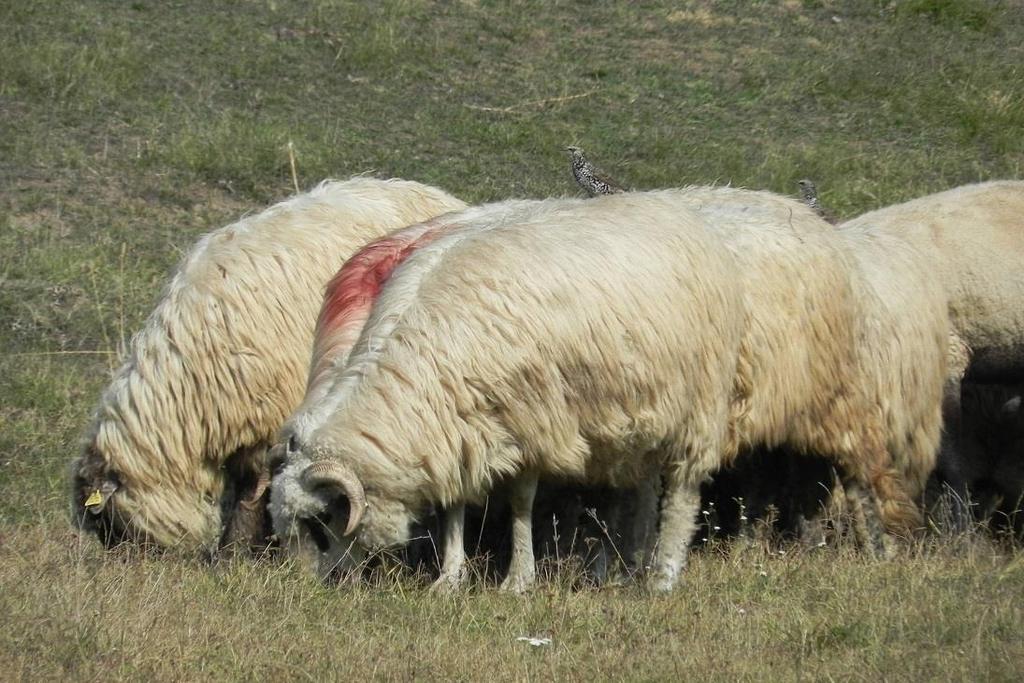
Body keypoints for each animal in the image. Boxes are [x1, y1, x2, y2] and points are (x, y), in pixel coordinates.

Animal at [73, 178, 468, 557]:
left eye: (108, 520)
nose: (123, 563)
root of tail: (439, 196)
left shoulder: (273, 421)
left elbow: (254, 490)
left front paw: (238, 551)